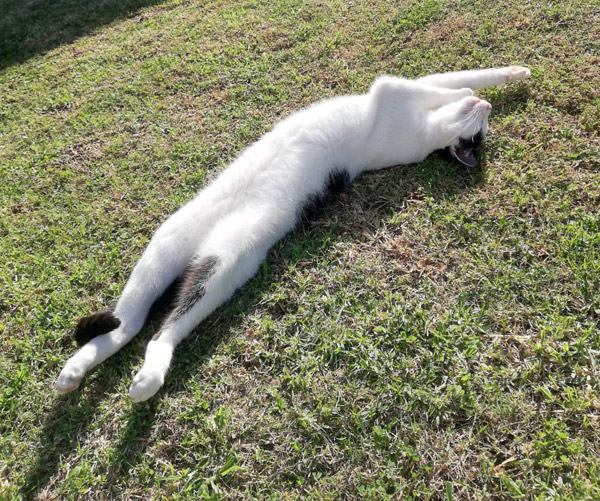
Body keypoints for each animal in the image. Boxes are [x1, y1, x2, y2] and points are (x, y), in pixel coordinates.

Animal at [54, 66, 528, 402]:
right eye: (479, 136)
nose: (487, 108)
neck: (424, 136)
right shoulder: (399, 90)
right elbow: (453, 79)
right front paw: (507, 76)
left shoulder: (394, 95)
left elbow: (442, 84)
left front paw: (482, 89)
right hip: (168, 242)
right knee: (130, 320)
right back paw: (76, 370)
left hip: (229, 262)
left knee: (156, 329)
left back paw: (136, 377)